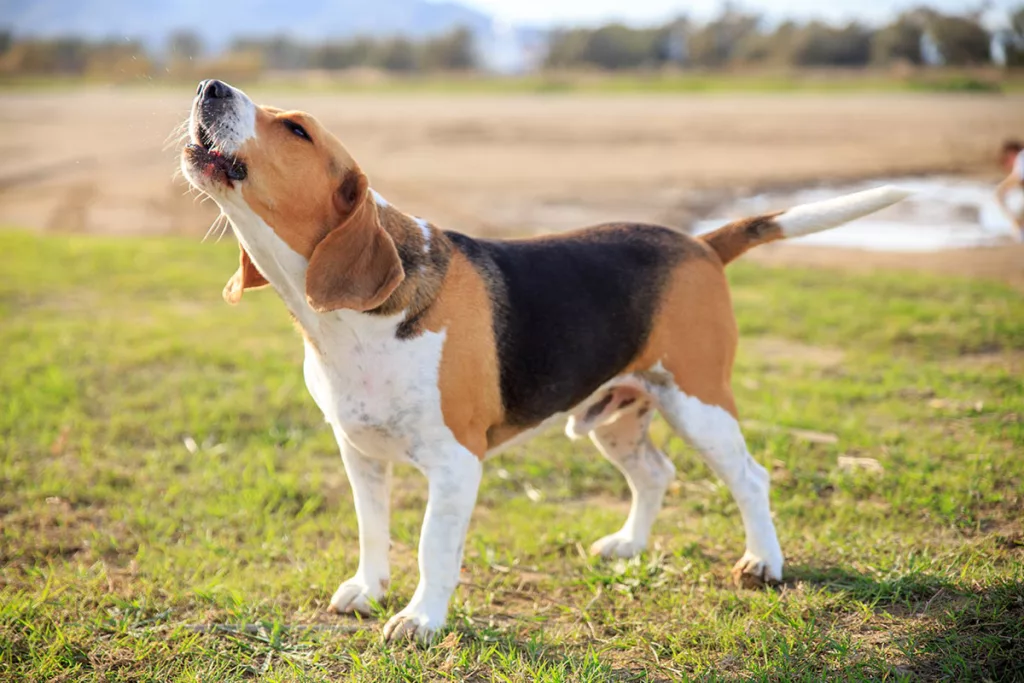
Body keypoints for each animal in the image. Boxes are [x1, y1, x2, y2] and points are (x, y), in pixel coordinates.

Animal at [180, 78, 909, 643]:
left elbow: (433, 547)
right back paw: (629, 545)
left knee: (751, 478)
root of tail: (699, 244)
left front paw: (421, 620)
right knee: (656, 472)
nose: (209, 87)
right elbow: (371, 530)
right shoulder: (359, 452)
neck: (345, 324)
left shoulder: (456, 464)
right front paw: (369, 588)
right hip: (613, 414)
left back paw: (763, 563)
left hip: (699, 402)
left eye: (296, 130)